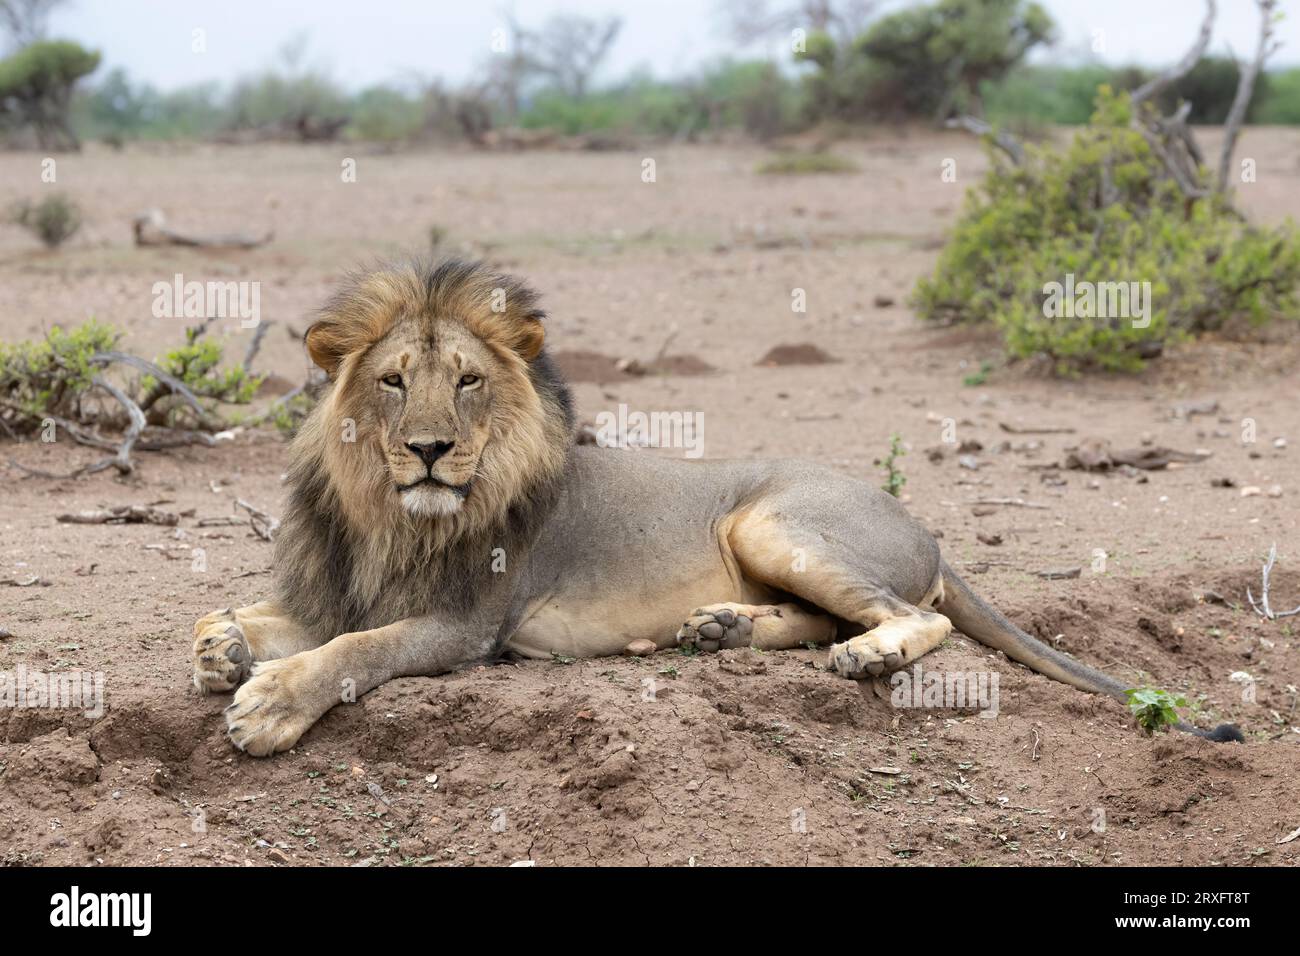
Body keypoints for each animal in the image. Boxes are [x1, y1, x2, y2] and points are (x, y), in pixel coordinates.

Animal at [189, 260, 1237, 754]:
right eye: (396, 382)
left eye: (470, 382)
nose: (430, 450)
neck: (387, 512)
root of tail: (925, 524)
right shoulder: (337, 588)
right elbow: (262, 619)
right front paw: (223, 646)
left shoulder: (467, 625)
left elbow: (358, 652)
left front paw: (269, 704)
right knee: (829, 616)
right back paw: (724, 629)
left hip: (768, 519)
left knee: (914, 615)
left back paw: (861, 656)